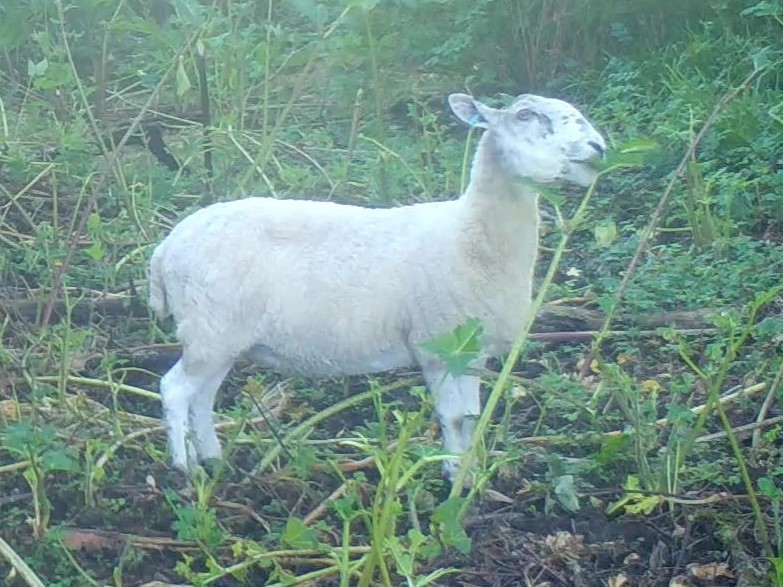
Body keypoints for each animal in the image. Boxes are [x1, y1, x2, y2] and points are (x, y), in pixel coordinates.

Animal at [150, 90, 608, 478]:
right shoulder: (436, 345)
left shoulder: (470, 353)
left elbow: (471, 417)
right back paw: (184, 468)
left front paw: (470, 473)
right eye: (526, 115)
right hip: (210, 330)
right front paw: (452, 476)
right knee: (174, 389)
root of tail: (166, 246)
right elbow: (453, 417)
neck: (469, 236)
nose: (599, 147)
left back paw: (212, 458)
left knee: (202, 396)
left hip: (222, 338)